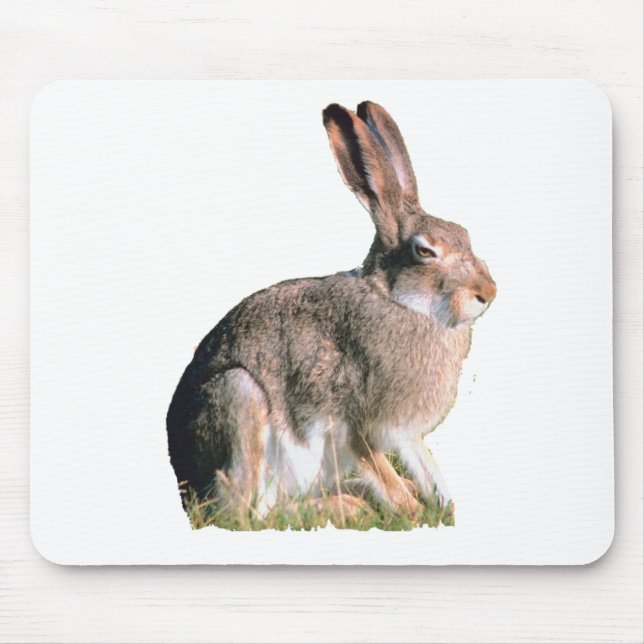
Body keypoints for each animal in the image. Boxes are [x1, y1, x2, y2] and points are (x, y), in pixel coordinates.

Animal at [167, 101, 496, 522]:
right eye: (425, 251)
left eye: (464, 234)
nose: (488, 292)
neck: (397, 301)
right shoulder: (359, 421)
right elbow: (381, 469)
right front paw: (411, 513)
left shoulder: (404, 433)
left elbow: (426, 468)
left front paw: (443, 509)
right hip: (239, 401)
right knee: (248, 513)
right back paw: (347, 505)